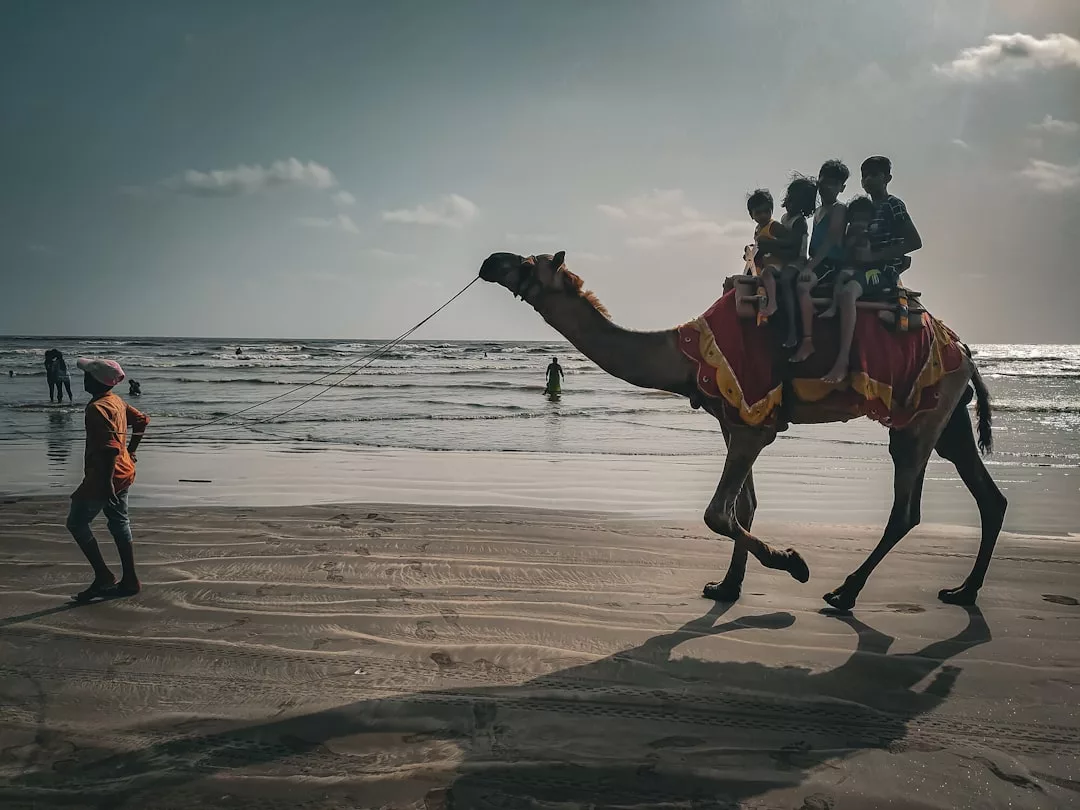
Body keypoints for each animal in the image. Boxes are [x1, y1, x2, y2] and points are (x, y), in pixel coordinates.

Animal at [478, 251, 1008, 610]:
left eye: (528, 263)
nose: (490, 261)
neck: (683, 354)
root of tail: (965, 349)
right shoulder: (733, 419)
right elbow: (743, 506)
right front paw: (727, 585)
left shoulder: (755, 420)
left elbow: (717, 512)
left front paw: (793, 562)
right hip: (949, 416)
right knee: (988, 495)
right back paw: (963, 591)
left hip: (920, 419)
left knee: (906, 509)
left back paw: (844, 592)